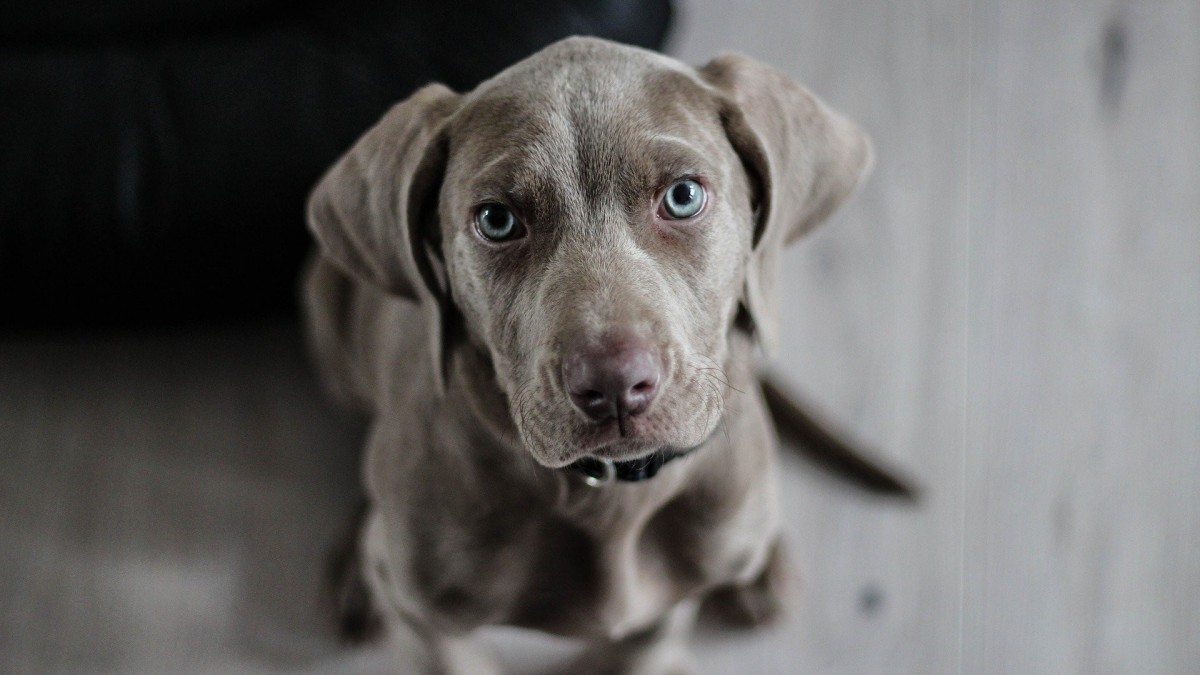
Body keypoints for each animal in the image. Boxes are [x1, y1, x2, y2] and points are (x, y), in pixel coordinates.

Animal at [302, 36, 873, 672]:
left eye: (683, 196)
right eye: (496, 220)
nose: (615, 386)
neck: (609, 497)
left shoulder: (666, 610)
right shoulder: (425, 620)